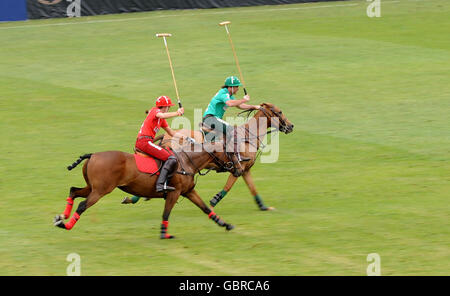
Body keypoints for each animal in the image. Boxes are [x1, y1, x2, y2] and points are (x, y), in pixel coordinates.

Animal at [53, 141, 243, 238]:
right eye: (231, 153)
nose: (240, 170)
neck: (187, 162)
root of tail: (93, 155)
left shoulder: (188, 192)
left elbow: (205, 208)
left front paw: (225, 224)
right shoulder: (174, 193)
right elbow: (166, 213)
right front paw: (164, 234)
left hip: (92, 187)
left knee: (73, 191)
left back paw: (60, 217)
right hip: (100, 191)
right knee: (82, 205)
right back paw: (66, 224)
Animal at [133, 103, 296, 212]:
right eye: (280, 112)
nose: (291, 126)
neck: (248, 136)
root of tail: (167, 135)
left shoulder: (246, 170)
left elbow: (253, 188)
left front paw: (263, 206)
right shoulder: (238, 168)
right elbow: (228, 187)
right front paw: (213, 201)